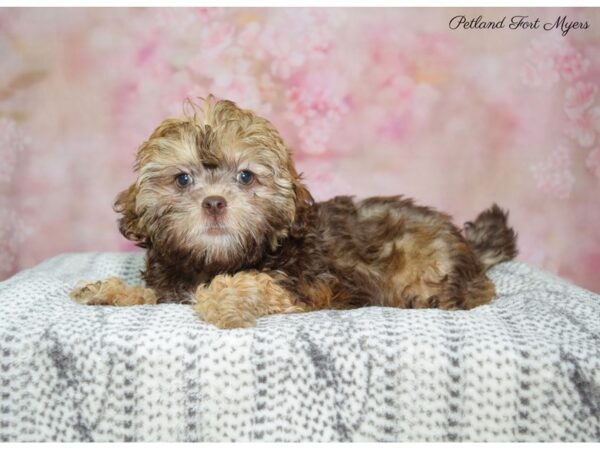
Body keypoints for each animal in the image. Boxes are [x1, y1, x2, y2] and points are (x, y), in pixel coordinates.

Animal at [70, 96, 516, 326]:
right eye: (182, 179)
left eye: (246, 177)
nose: (213, 202)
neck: (218, 259)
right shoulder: (171, 283)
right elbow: (153, 293)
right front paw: (111, 291)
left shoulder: (309, 284)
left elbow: (255, 283)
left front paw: (221, 300)